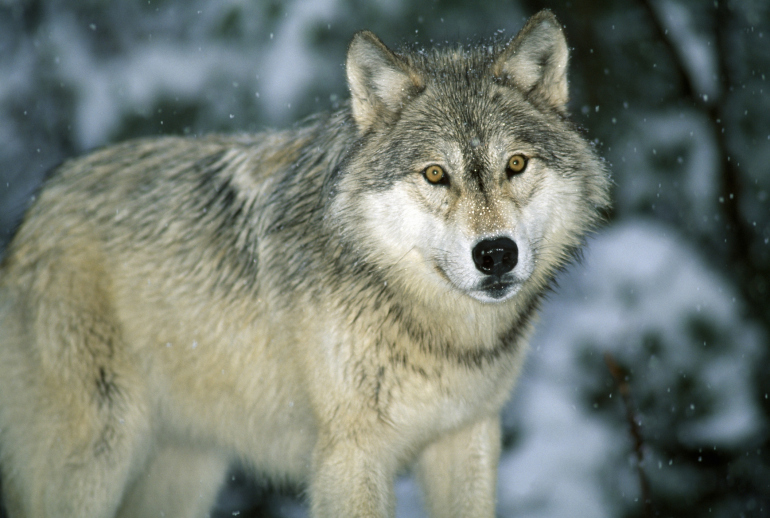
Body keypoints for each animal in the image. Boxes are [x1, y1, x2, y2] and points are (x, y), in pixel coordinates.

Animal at [0, 10, 609, 518]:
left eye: (516, 164)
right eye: (436, 174)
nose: (496, 253)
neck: (439, 333)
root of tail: (33, 215)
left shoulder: (467, 437)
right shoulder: (351, 455)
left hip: (184, 472)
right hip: (98, 453)